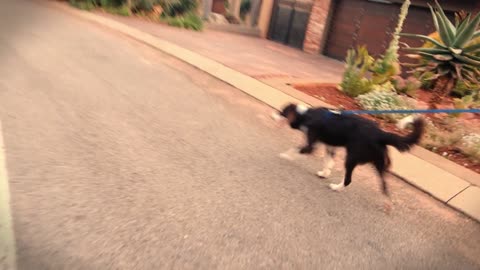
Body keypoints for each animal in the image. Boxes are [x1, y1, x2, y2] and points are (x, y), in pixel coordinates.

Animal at [272, 102, 426, 195]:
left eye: (282, 112)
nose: (273, 115)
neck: (306, 115)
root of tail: (380, 133)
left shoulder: (311, 144)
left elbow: (296, 150)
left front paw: (285, 155)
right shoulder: (329, 146)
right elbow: (328, 161)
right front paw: (325, 173)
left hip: (352, 157)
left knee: (348, 180)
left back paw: (336, 187)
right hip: (379, 162)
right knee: (384, 185)